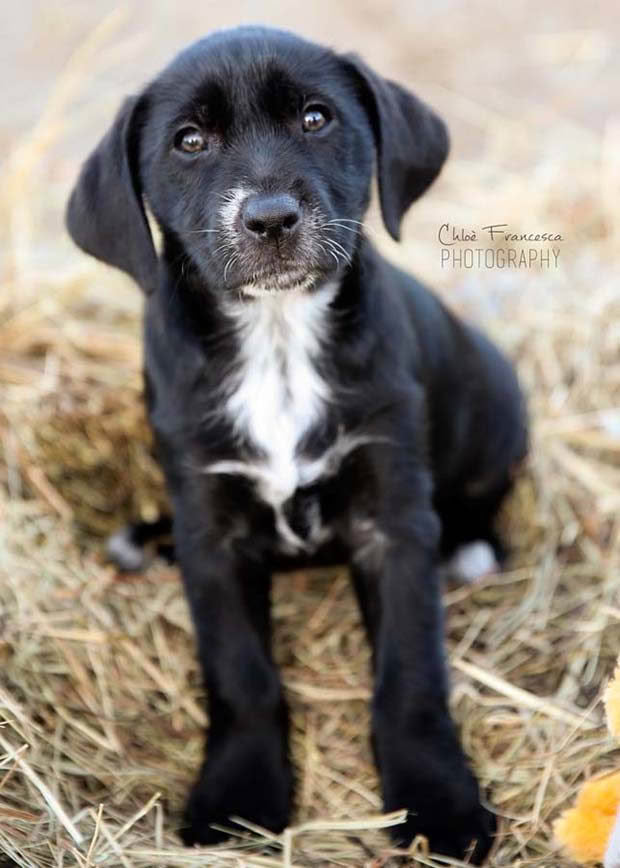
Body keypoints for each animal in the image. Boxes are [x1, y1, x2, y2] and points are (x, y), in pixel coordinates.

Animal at [65, 27, 524, 860]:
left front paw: (438, 803)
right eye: (189, 141)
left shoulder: (391, 518)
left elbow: (410, 676)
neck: (277, 343)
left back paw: (473, 546)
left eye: (316, 118)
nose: (271, 219)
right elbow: (241, 673)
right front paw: (239, 796)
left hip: (497, 405)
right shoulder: (211, 528)